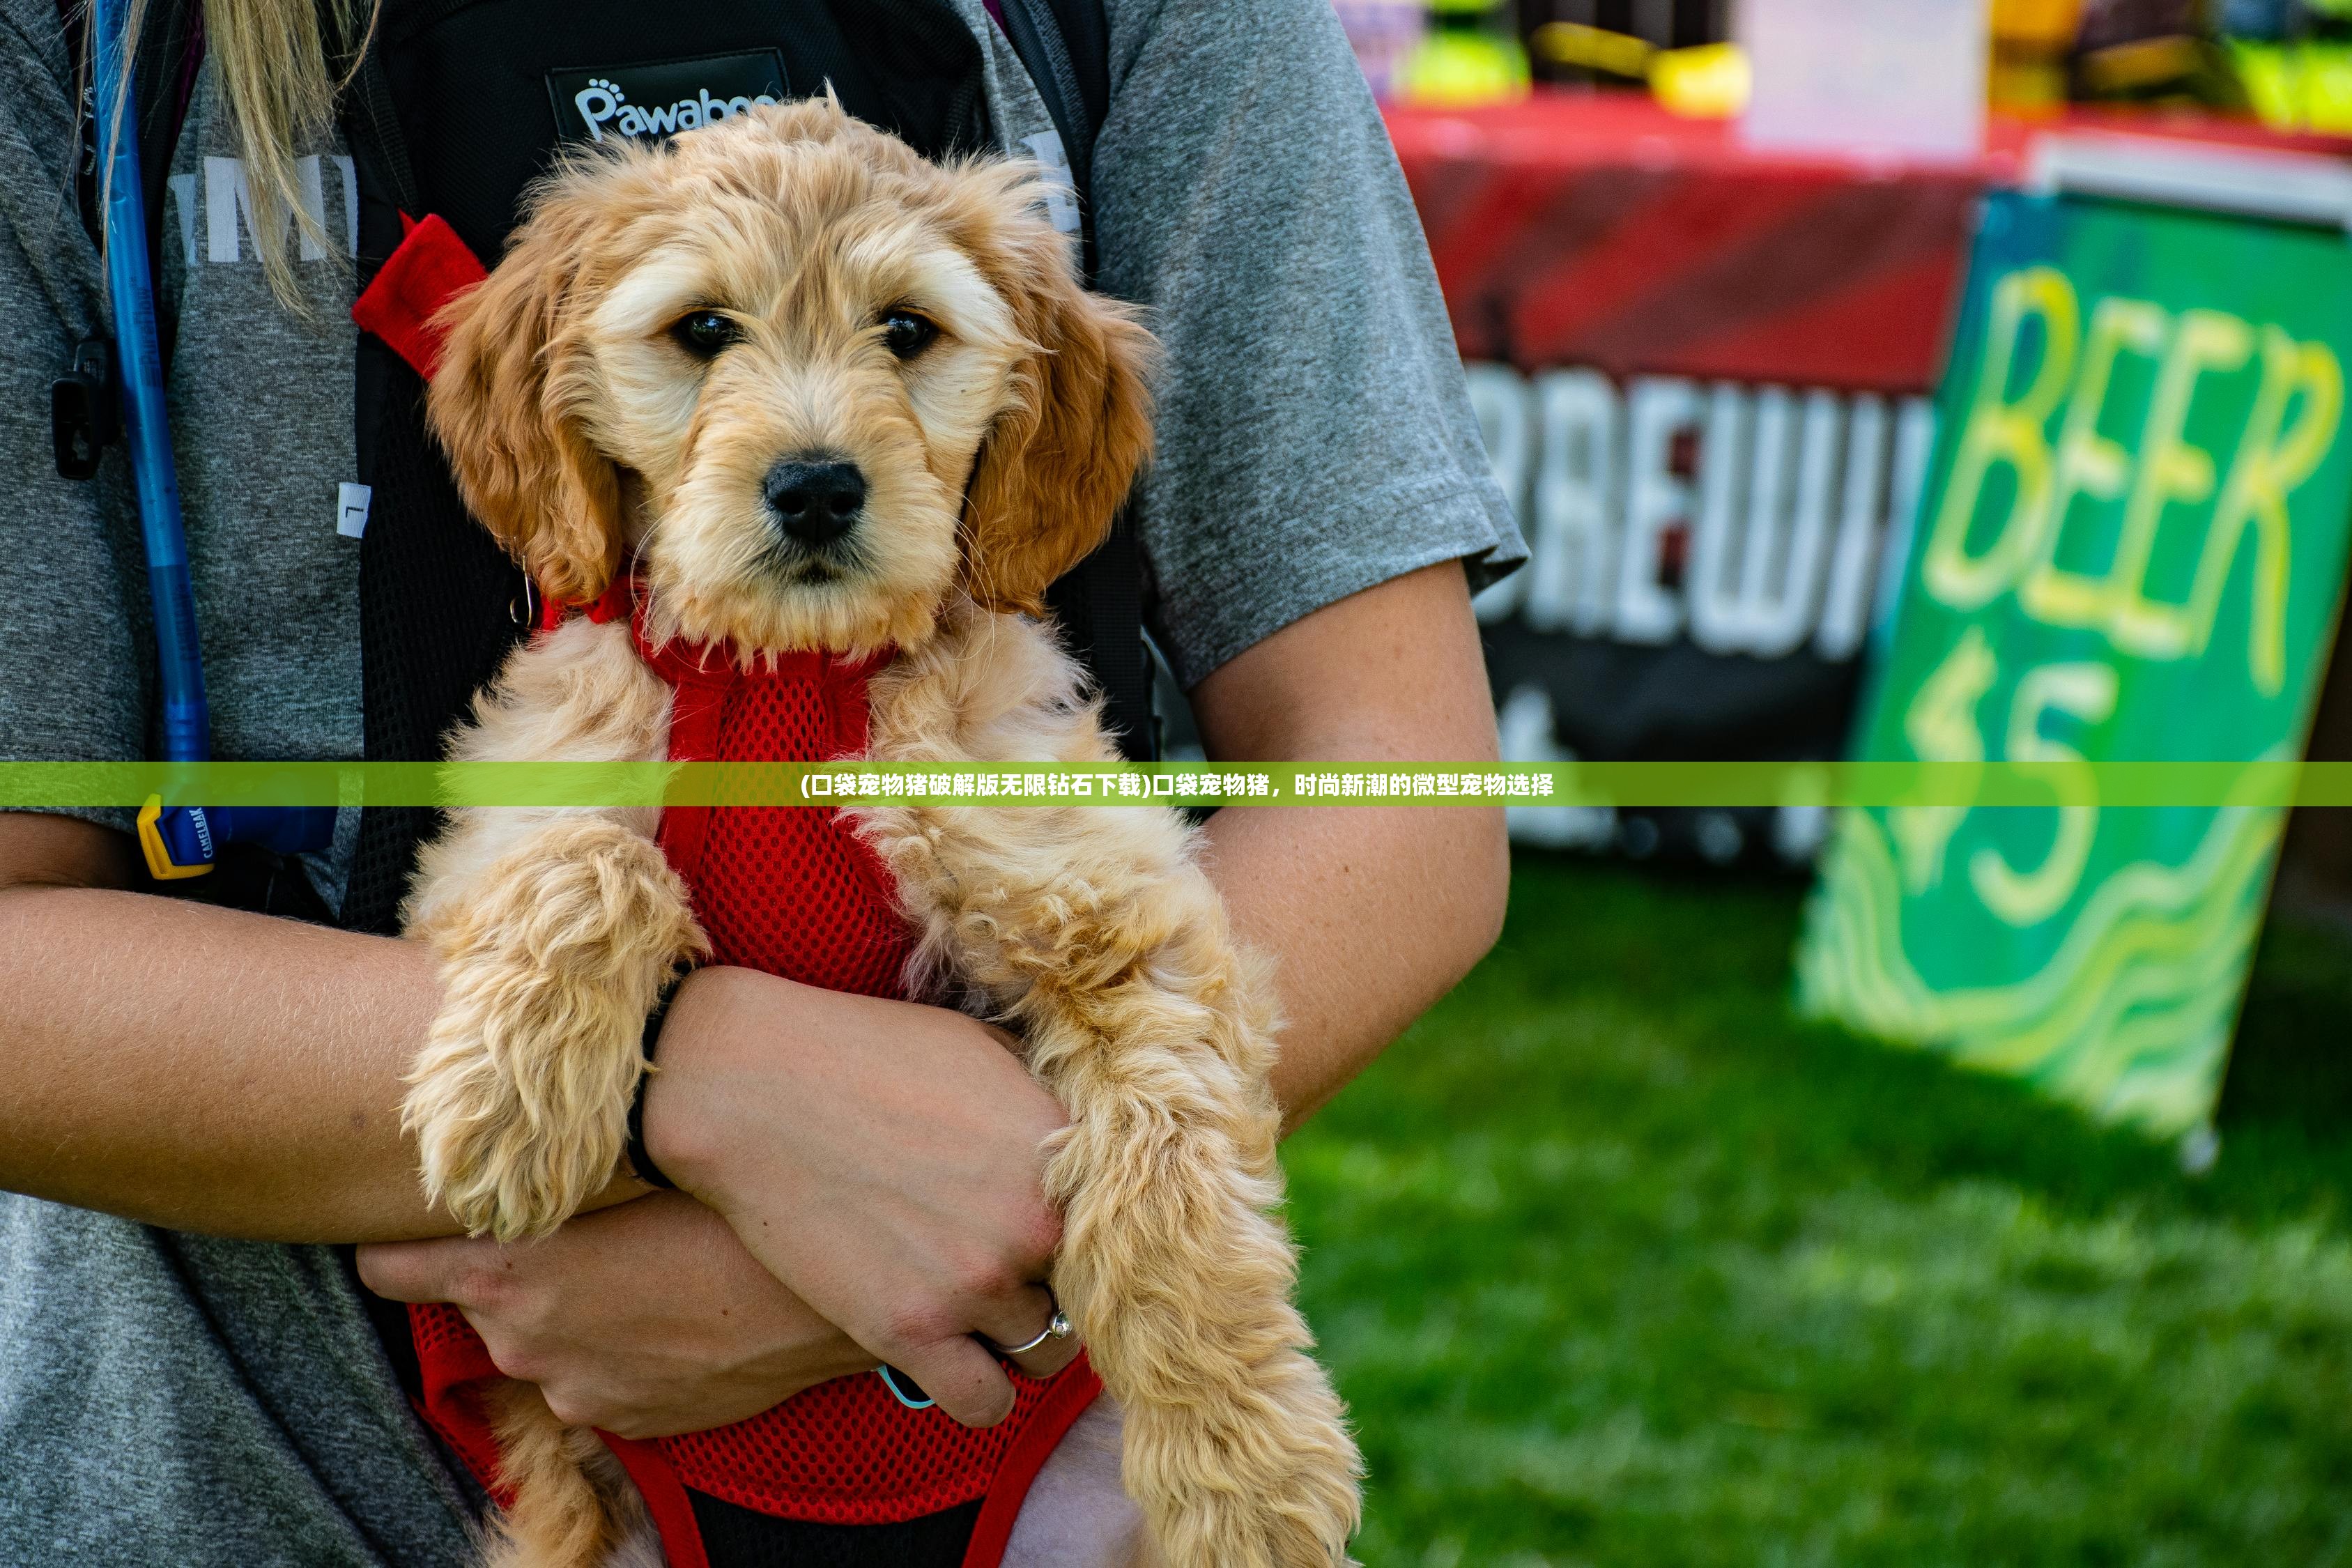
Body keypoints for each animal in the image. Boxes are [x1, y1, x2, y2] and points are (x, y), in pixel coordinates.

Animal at [399, 101, 1364, 1568]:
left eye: (906, 331)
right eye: (702, 330)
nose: (815, 488)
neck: (791, 675)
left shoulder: (1113, 903)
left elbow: (1172, 1166)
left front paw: (1248, 1477)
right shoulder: (498, 819)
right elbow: (594, 858)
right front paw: (513, 1106)